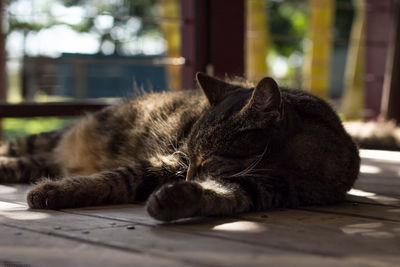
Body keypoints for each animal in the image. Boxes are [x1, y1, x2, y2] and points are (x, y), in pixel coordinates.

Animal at [0, 73, 360, 222]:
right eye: (192, 156)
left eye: (208, 159)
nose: (186, 177)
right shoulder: (169, 160)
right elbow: (119, 178)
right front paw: (54, 192)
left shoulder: (259, 190)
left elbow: (218, 196)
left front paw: (177, 199)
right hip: (47, 138)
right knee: (19, 147)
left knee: (31, 162)